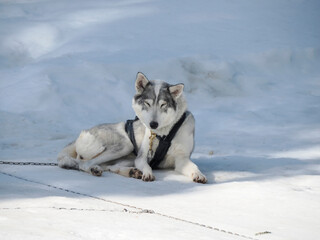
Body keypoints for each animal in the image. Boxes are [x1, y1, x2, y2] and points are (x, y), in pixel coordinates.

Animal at [57, 72, 208, 183]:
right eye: (147, 103)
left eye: (163, 105)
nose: (153, 124)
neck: (164, 134)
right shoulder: (141, 157)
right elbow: (146, 165)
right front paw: (147, 173)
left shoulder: (182, 159)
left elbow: (194, 166)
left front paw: (198, 174)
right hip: (125, 146)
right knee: (84, 164)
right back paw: (95, 169)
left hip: (127, 156)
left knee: (111, 166)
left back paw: (131, 172)